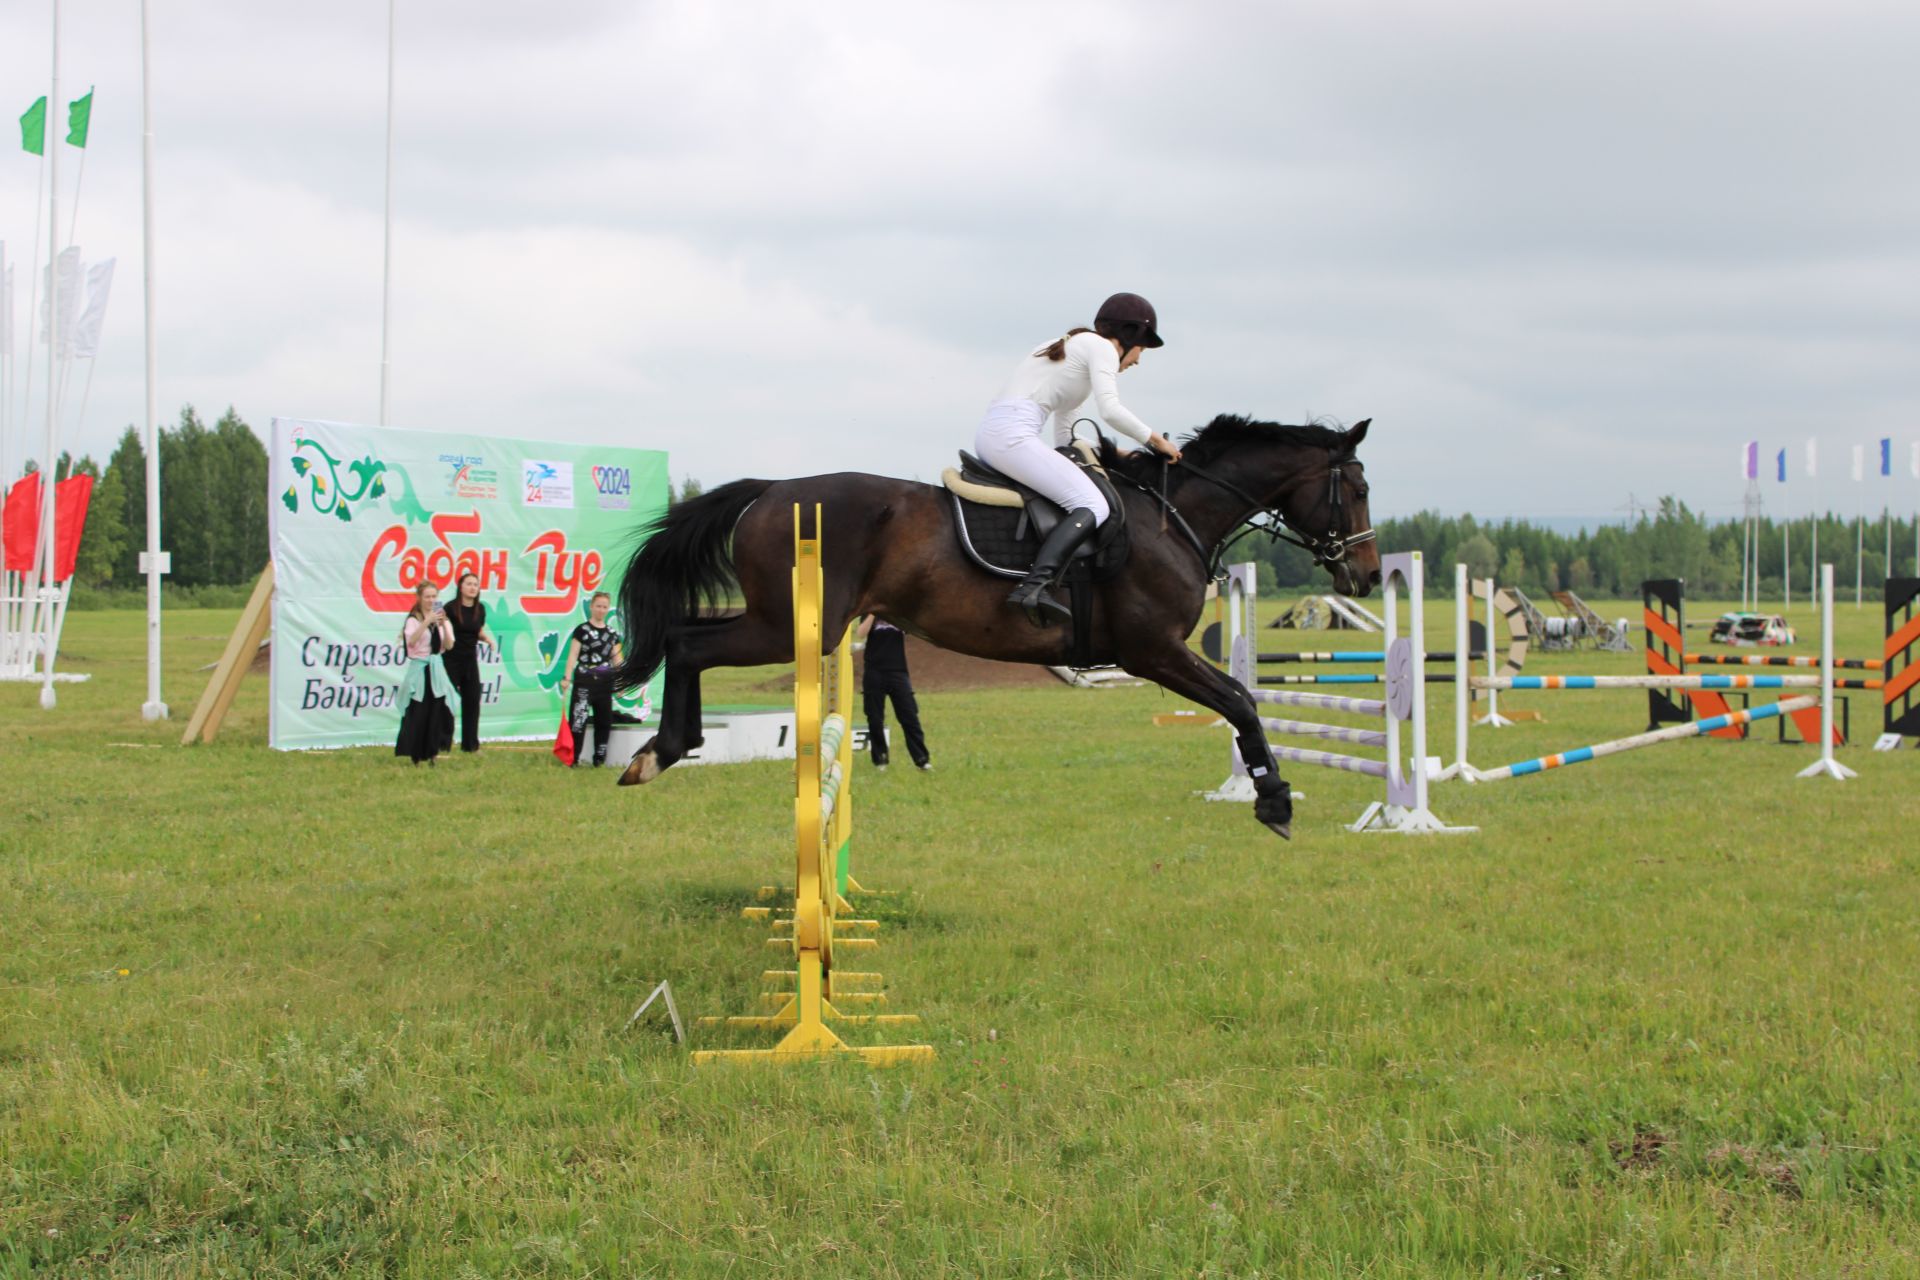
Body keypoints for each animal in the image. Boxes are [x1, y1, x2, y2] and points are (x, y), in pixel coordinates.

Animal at [614, 416, 1382, 840]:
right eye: (1360, 487)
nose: (1368, 575)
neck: (1174, 515)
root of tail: (771, 491)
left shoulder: (1156, 654)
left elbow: (1240, 700)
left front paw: (1271, 794)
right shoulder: (1154, 651)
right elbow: (1242, 701)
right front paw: (1274, 800)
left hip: (786, 623)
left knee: (686, 642)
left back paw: (662, 749)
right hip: (788, 626)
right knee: (686, 643)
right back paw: (662, 750)